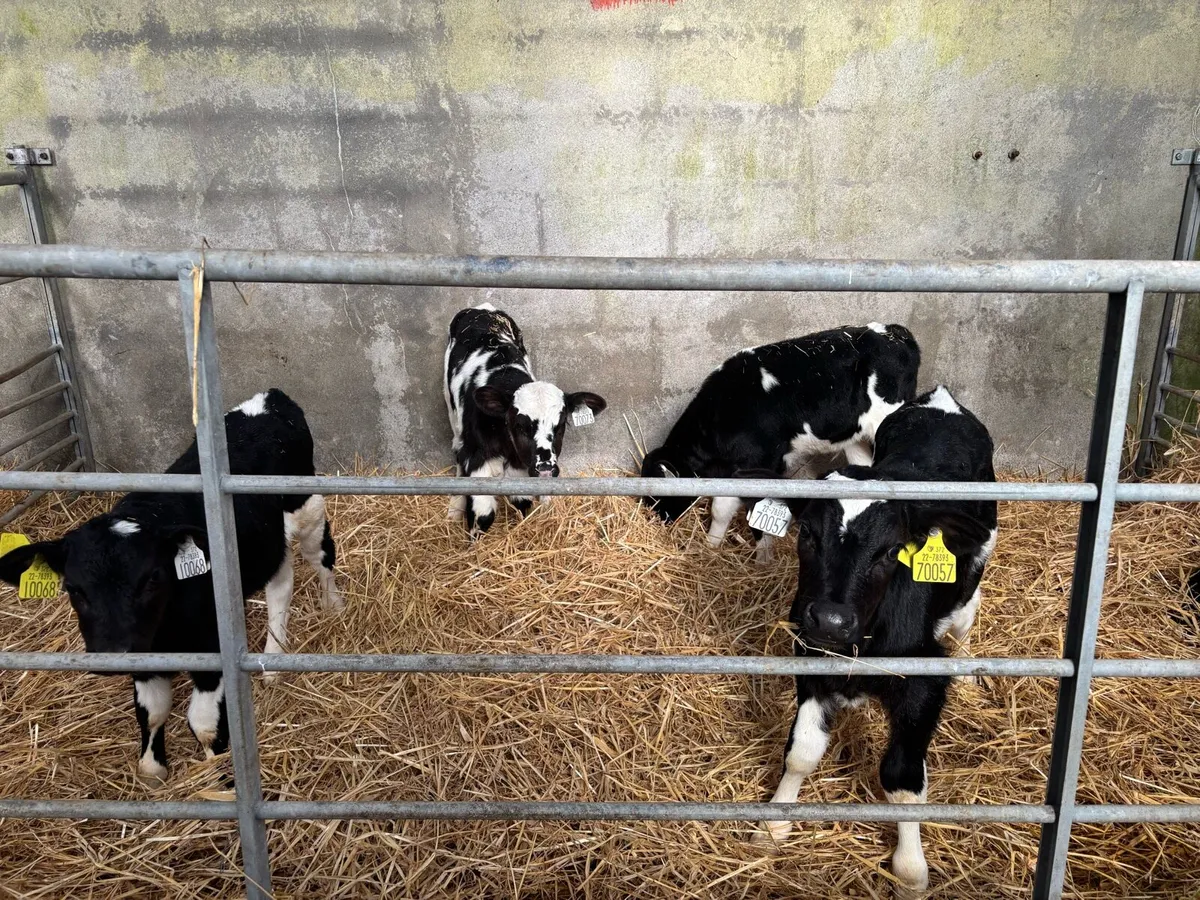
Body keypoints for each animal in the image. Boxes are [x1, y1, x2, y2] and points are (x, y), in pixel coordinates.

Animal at [0, 388, 342, 782]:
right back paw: (272, 659)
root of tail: (270, 396)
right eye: (73, 588)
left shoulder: (210, 646)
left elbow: (203, 721)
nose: (112, 652)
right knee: (280, 584)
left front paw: (221, 773)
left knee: (321, 558)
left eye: (152, 577)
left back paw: (333, 608)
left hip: (308, 509)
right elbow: (152, 713)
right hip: (270, 542)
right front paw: (154, 766)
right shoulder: (145, 656)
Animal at [443, 302, 606, 536]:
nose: (545, 468)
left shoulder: (520, 468)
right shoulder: (476, 459)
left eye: (560, 425)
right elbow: (482, 514)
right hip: (451, 409)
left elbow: (523, 502)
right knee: (456, 446)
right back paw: (455, 506)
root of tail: (482, 309)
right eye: (520, 425)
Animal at [641, 323, 920, 563]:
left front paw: (762, 561)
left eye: (658, 496)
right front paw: (710, 547)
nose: (658, 521)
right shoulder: (733, 468)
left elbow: (753, 510)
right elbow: (721, 508)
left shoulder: (761, 463)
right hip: (856, 439)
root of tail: (895, 332)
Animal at [755, 385, 997, 893]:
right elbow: (801, 753)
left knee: (965, 624)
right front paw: (773, 825)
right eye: (807, 534)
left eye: (890, 552)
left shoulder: (923, 682)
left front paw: (910, 870)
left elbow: (902, 778)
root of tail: (941, 401)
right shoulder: (809, 654)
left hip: (971, 580)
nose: (830, 619)